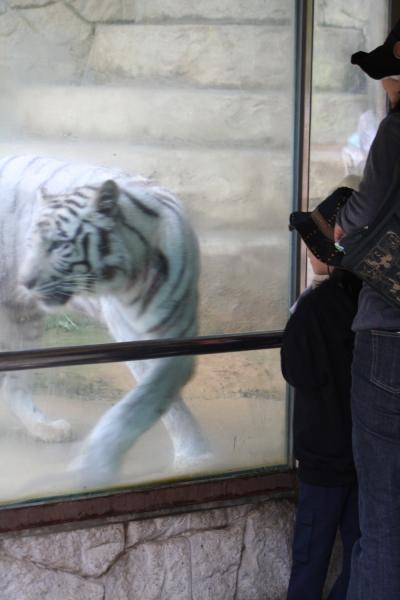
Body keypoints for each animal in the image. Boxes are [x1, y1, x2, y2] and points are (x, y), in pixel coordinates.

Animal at [0, 154, 209, 482]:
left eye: (57, 245)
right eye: (30, 242)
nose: (25, 282)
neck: (139, 273)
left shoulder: (178, 333)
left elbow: (153, 396)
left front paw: (194, 458)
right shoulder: (132, 336)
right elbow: (151, 400)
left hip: (22, 318)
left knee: (13, 384)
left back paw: (47, 429)